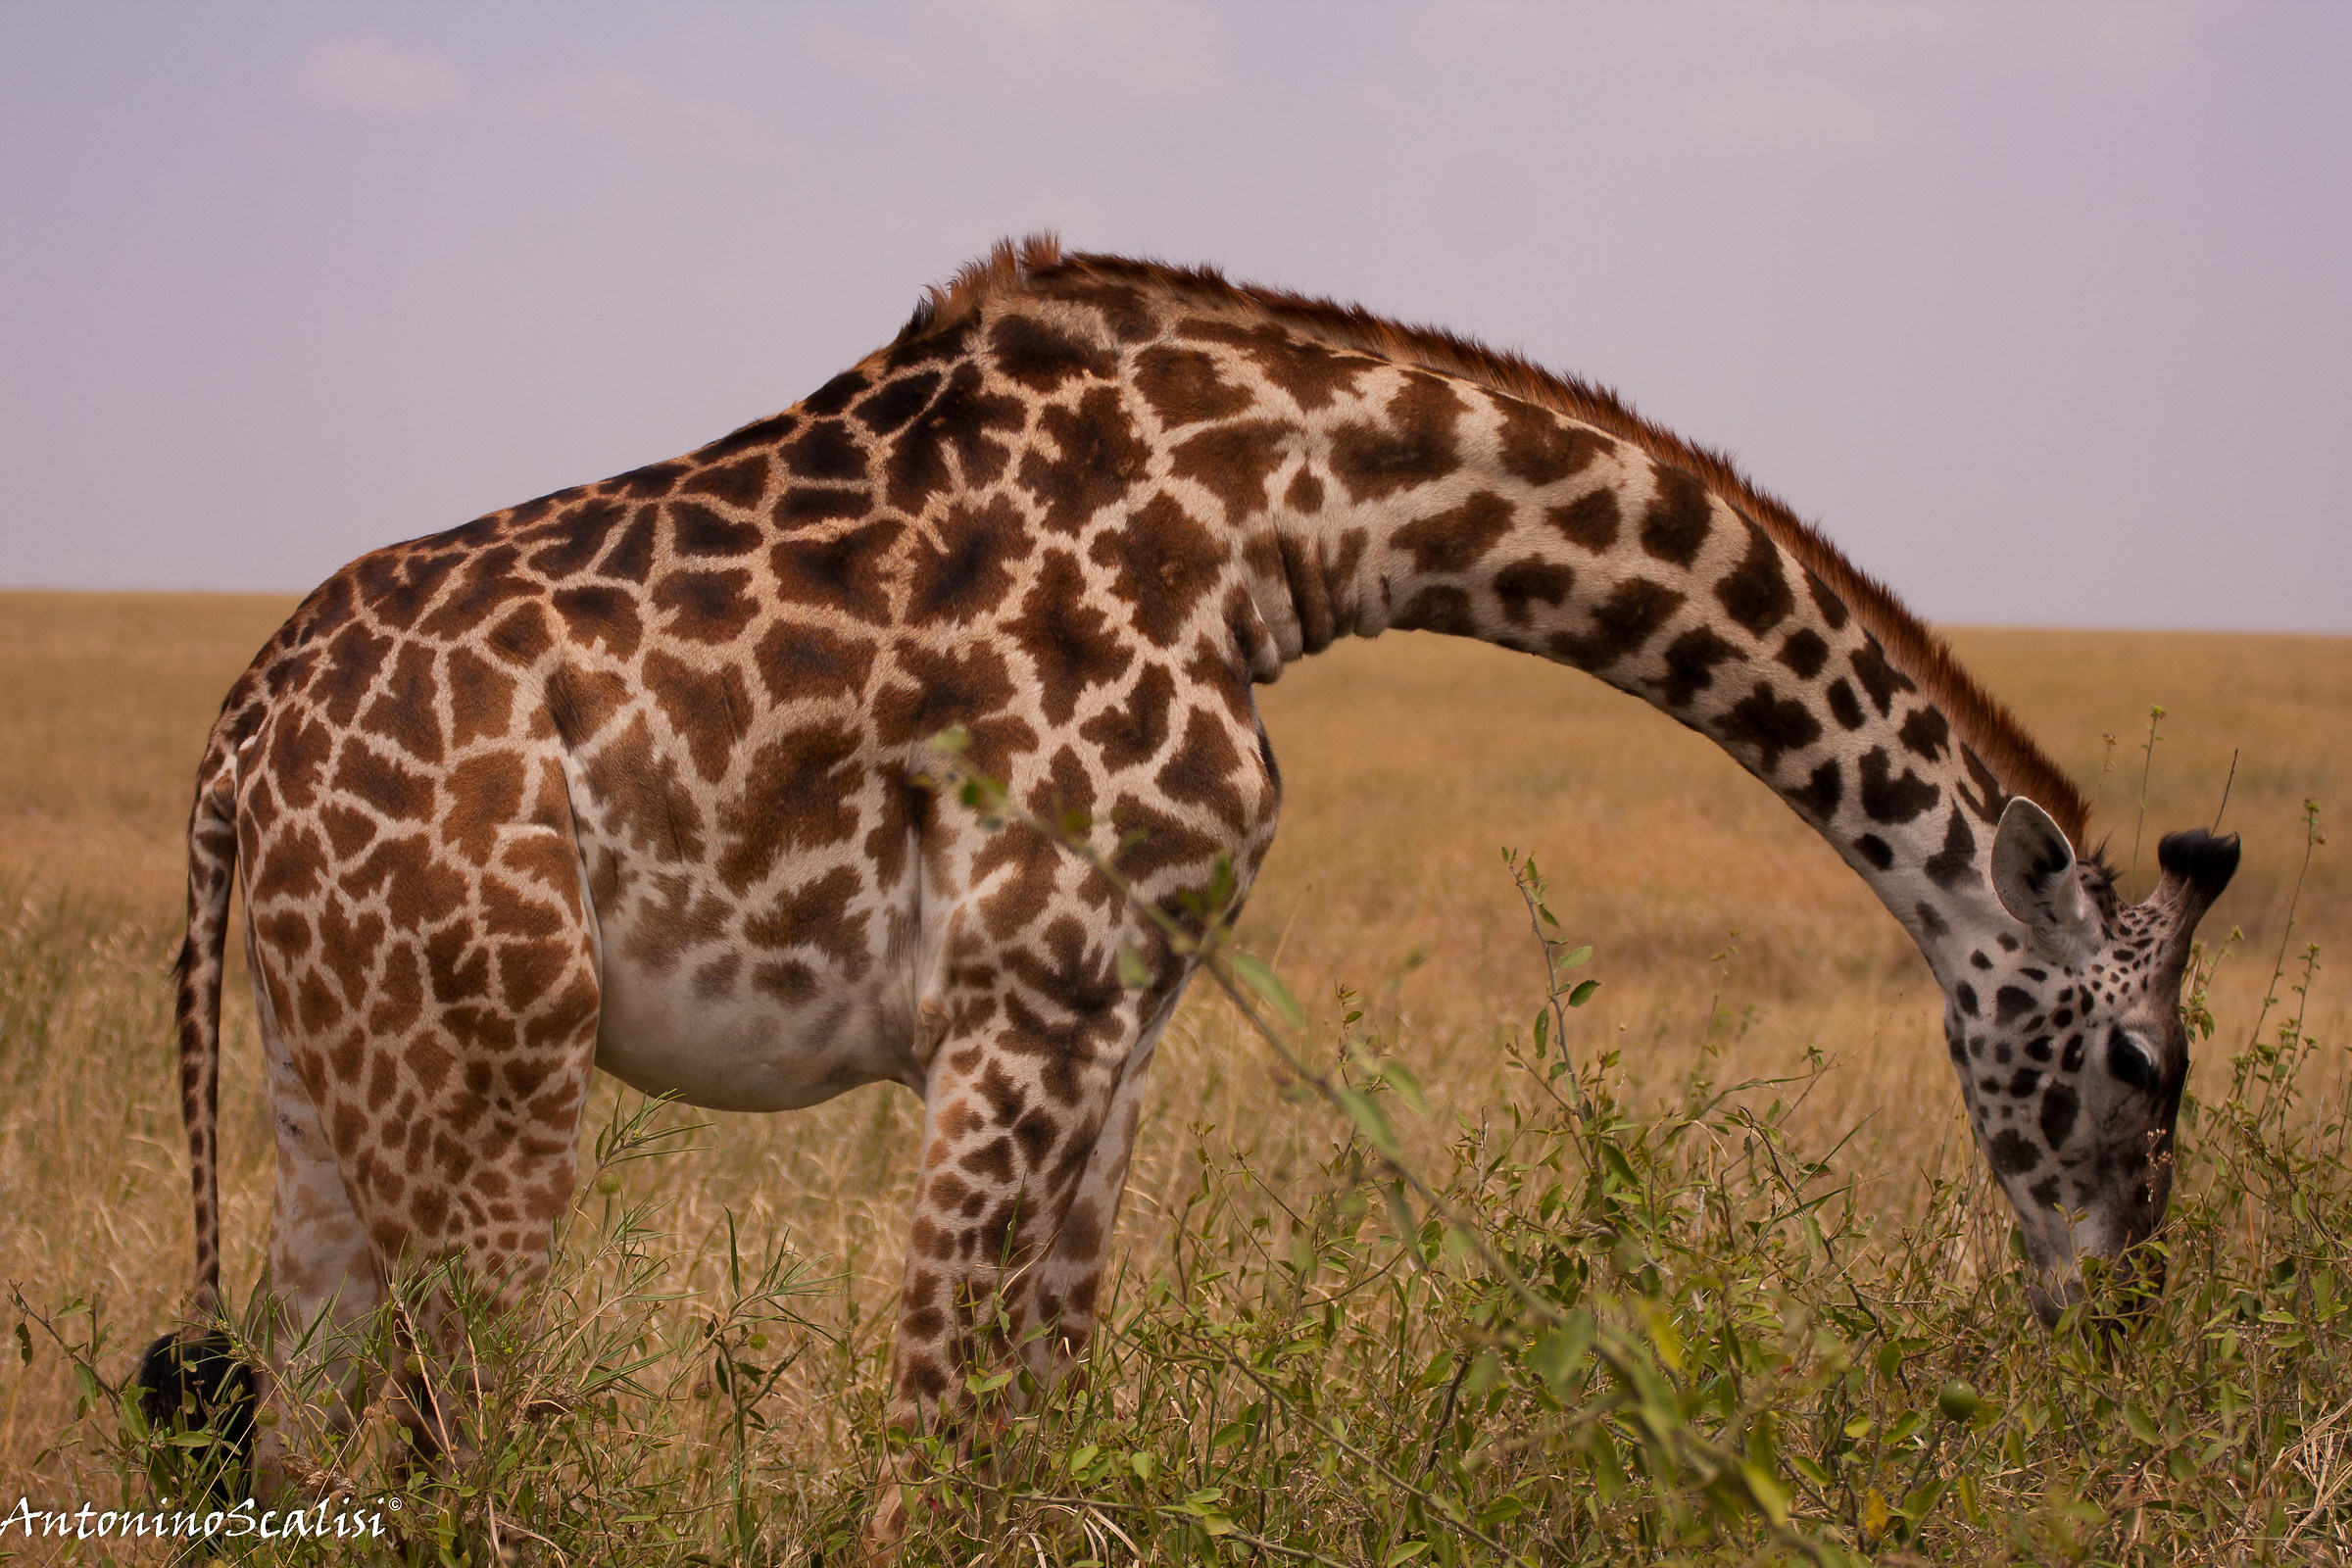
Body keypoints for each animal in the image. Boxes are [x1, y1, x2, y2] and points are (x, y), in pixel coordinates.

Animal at [142, 236, 2237, 1524]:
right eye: (2147, 1068)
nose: (2124, 1327)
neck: (1291, 519)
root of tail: (240, 742)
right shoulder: (1023, 997)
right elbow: (929, 1441)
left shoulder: (1123, 1013)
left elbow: (1035, 1416)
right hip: (501, 1072)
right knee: (455, 1452)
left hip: (322, 1078)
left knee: (312, 1435)